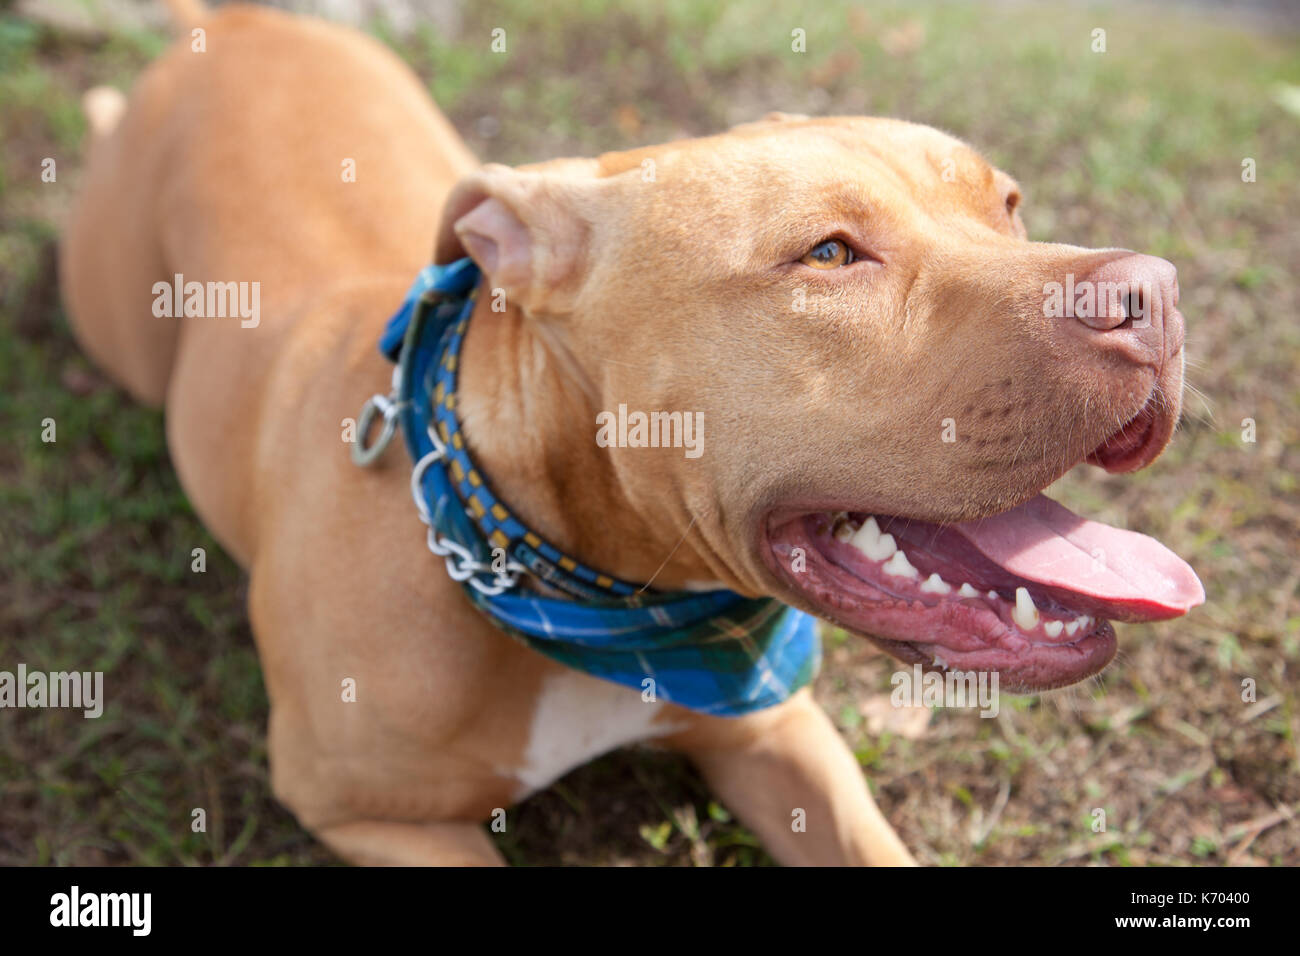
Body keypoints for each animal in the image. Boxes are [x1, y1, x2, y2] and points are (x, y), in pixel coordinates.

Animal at [61, 1, 1196, 868]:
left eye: (1007, 203)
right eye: (828, 254)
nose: (1154, 294)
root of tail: (234, 22)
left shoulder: (779, 732)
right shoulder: (367, 811)